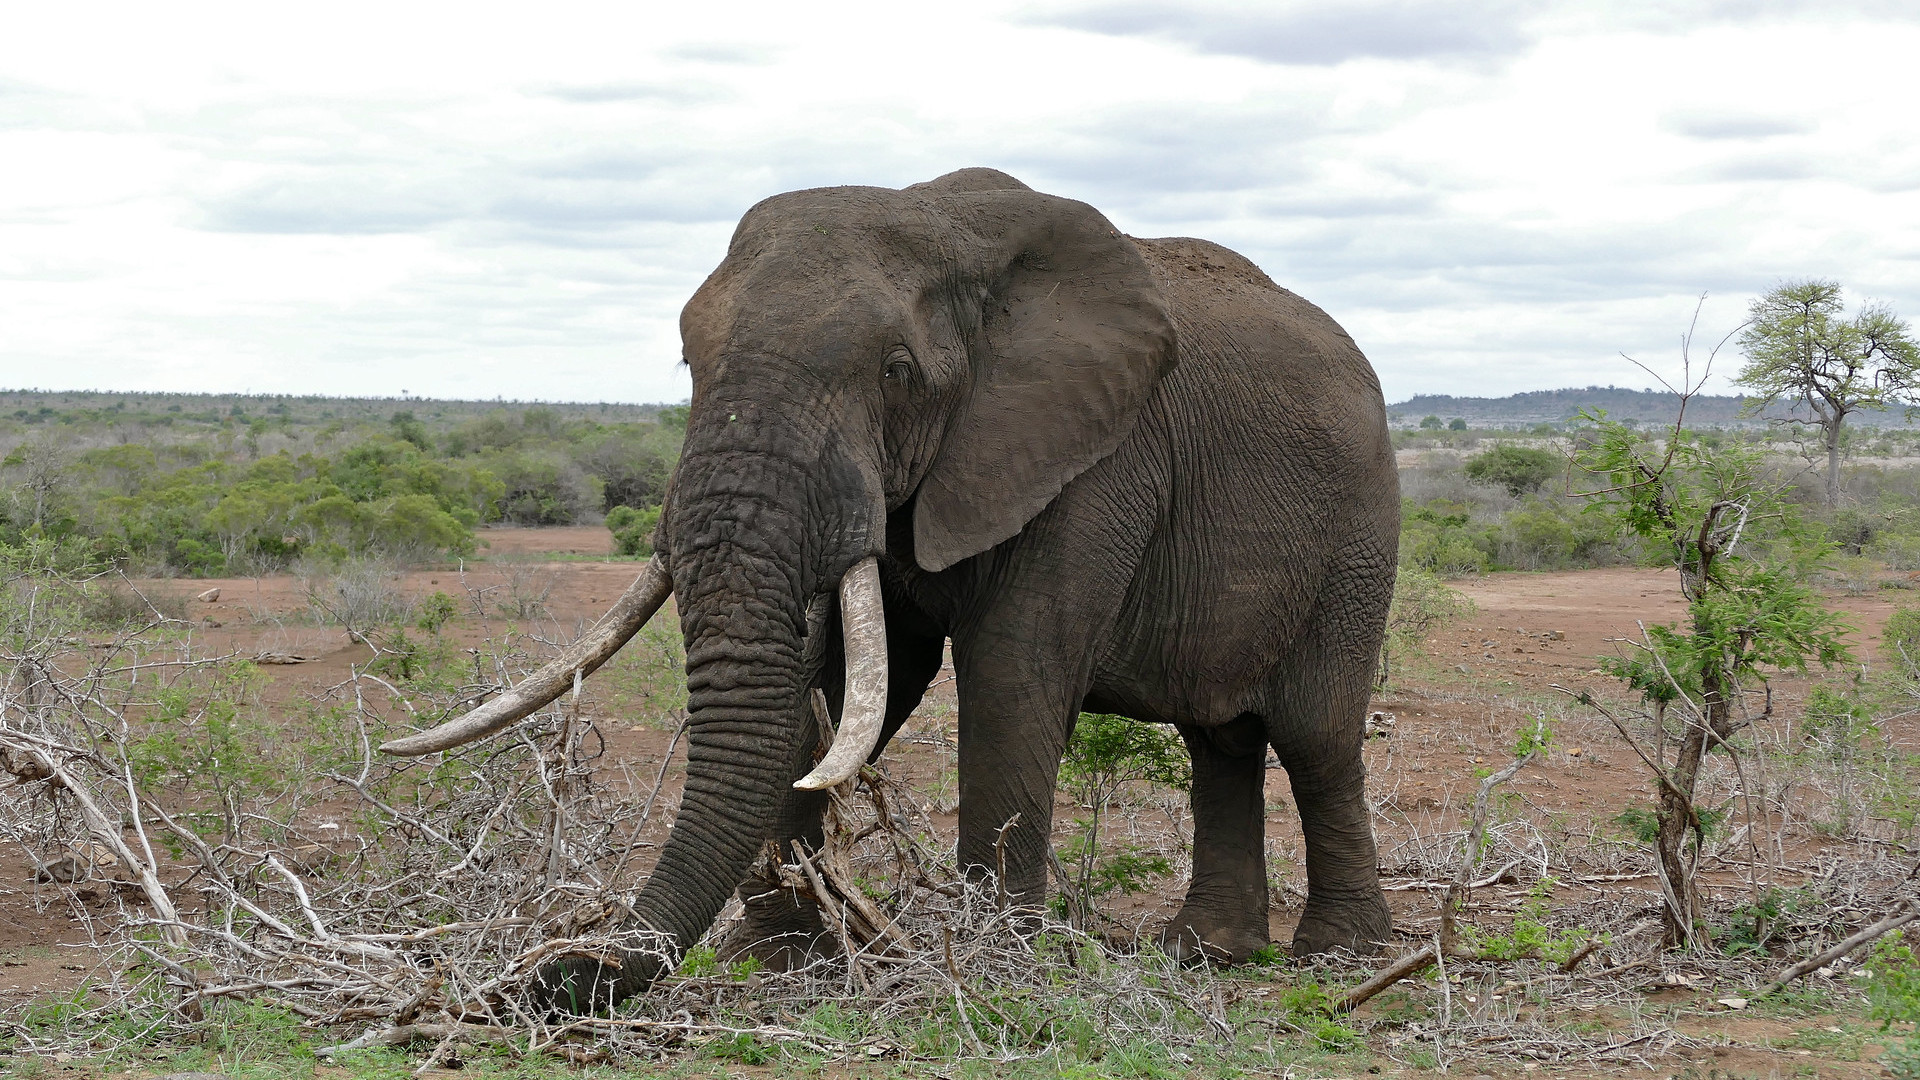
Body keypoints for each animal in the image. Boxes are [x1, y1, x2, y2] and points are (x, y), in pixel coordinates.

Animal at [382, 164, 1405, 1006]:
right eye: (687, 362)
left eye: (896, 371)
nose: (550, 972)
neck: (952, 228)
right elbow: (853, 679)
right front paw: (784, 961)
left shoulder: (1094, 455)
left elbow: (1011, 673)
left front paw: (993, 967)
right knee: (1218, 741)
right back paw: (1205, 954)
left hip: (1359, 536)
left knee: (1314, 736)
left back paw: (1337, 961)